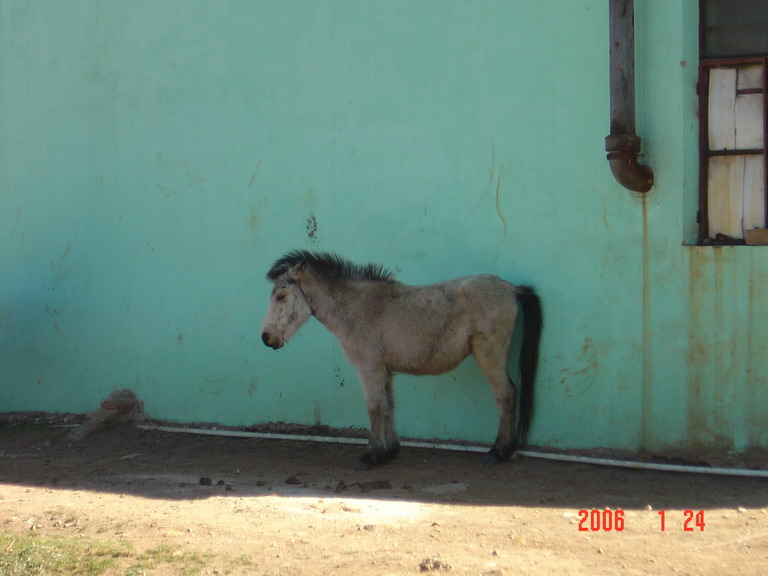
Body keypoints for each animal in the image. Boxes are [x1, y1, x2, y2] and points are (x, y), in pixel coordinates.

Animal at [260, 251, 544, 468]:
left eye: (281, 296)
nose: (266, 338)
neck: (357, 307)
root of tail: (510, 288)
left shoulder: (369, 369)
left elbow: (375, 408)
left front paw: (371, 456)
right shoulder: (385, 372)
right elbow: (389, 406)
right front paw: (389, 452)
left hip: (489, 355)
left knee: (506, 394)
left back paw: (499, 451)